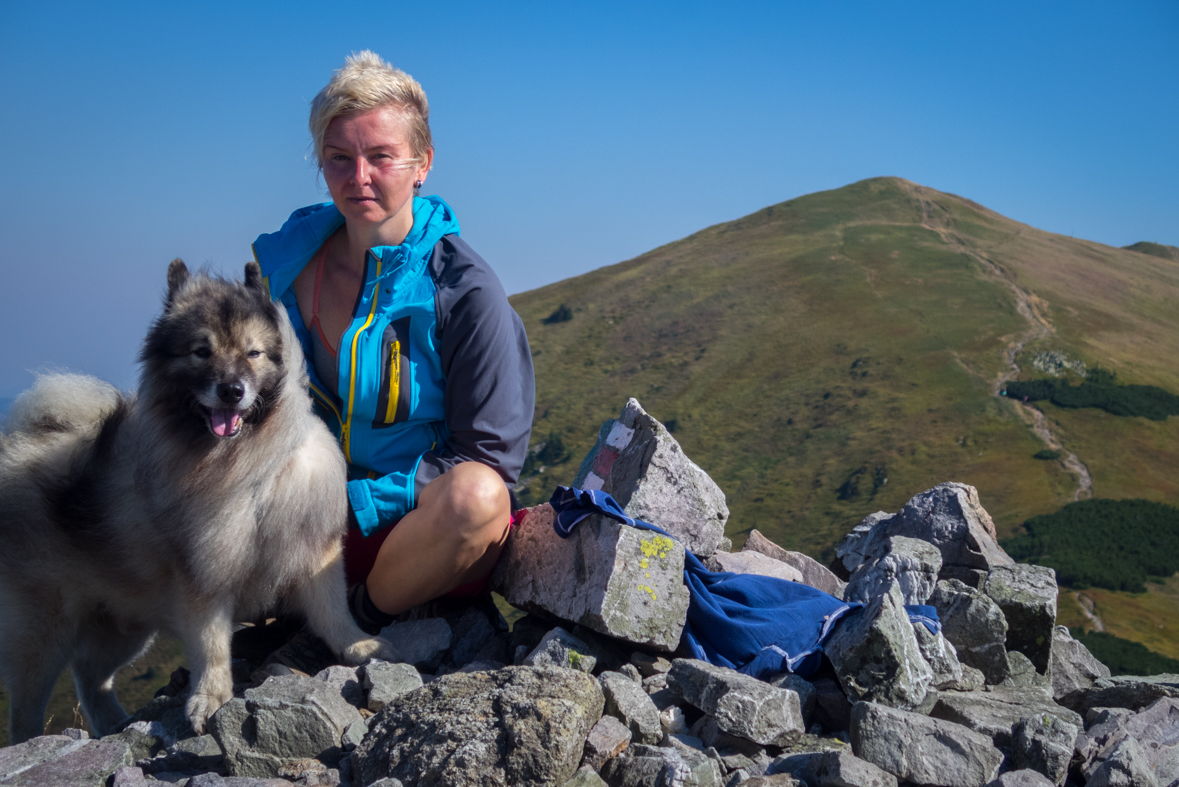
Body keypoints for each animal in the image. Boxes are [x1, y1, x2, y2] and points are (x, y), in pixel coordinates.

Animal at [0, 262, 396, 744]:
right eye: (201, 352)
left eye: (254, 353)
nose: (231, 390)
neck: (245, 466)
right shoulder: (203, 576)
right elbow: (210, 645)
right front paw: (210, 697)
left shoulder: (312, 550)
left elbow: (332, 611)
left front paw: (357, 645)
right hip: (43, 633)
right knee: (29, 706)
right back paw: (32, 742)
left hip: (122, 626)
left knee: (92, 677)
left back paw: (113, 722)